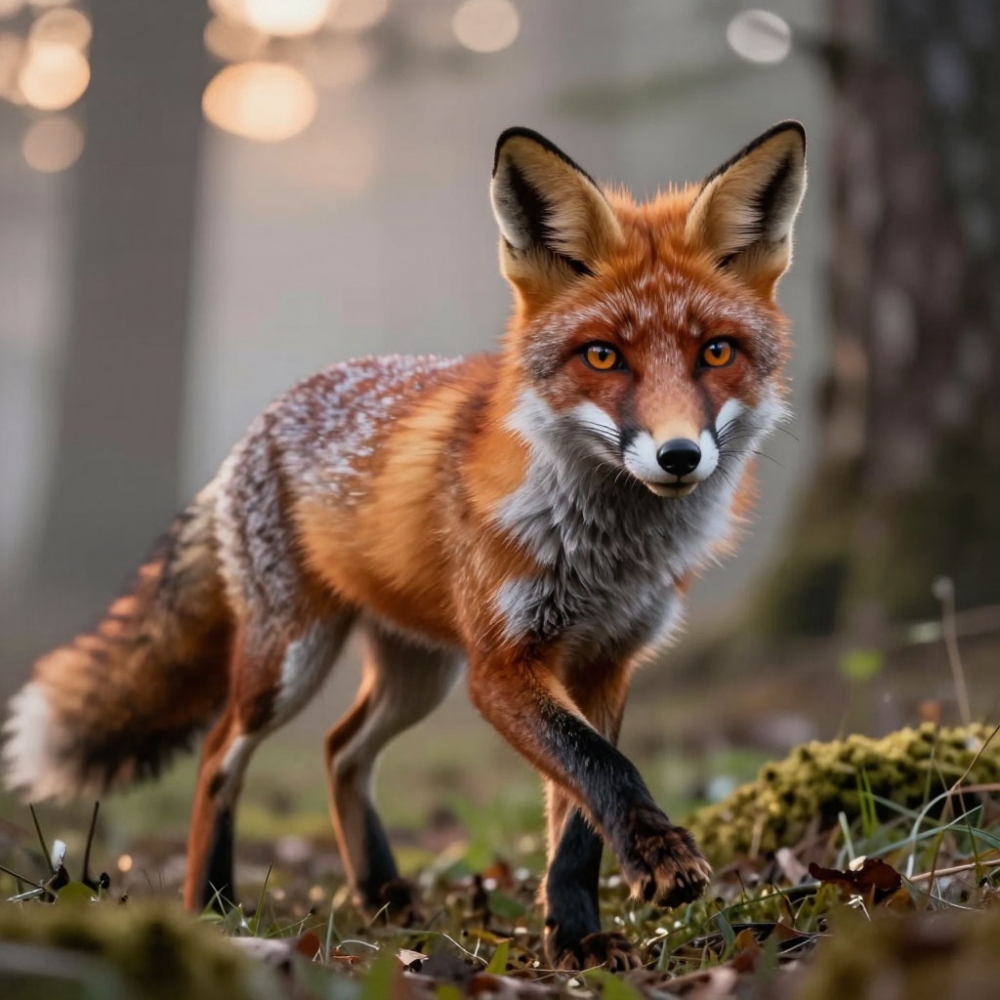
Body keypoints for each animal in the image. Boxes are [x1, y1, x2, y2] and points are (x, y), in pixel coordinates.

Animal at [2, 122, 805, 970]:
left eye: (716, 352)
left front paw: (577, 933)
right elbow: (603, 769)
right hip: (291, 664)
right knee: (221, 752)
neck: (607, 555)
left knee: (341, 750)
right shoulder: (504, 667)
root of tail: (261, 423)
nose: (680, 457)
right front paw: (650, 861)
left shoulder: (606, 661)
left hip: (419, 673)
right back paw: (213, 901)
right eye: (602, 356)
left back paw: (382, 892)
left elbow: (577, 816)